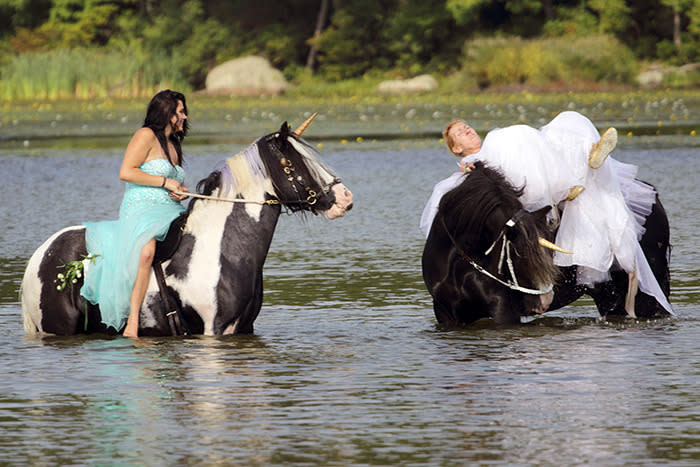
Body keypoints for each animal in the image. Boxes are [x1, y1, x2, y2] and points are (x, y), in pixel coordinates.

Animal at [23, 120, 356, 336]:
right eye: (294, 164)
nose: (345, 198)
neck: (220, 249)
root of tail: (42, 253)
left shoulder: (244, 329)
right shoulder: (213, 329)